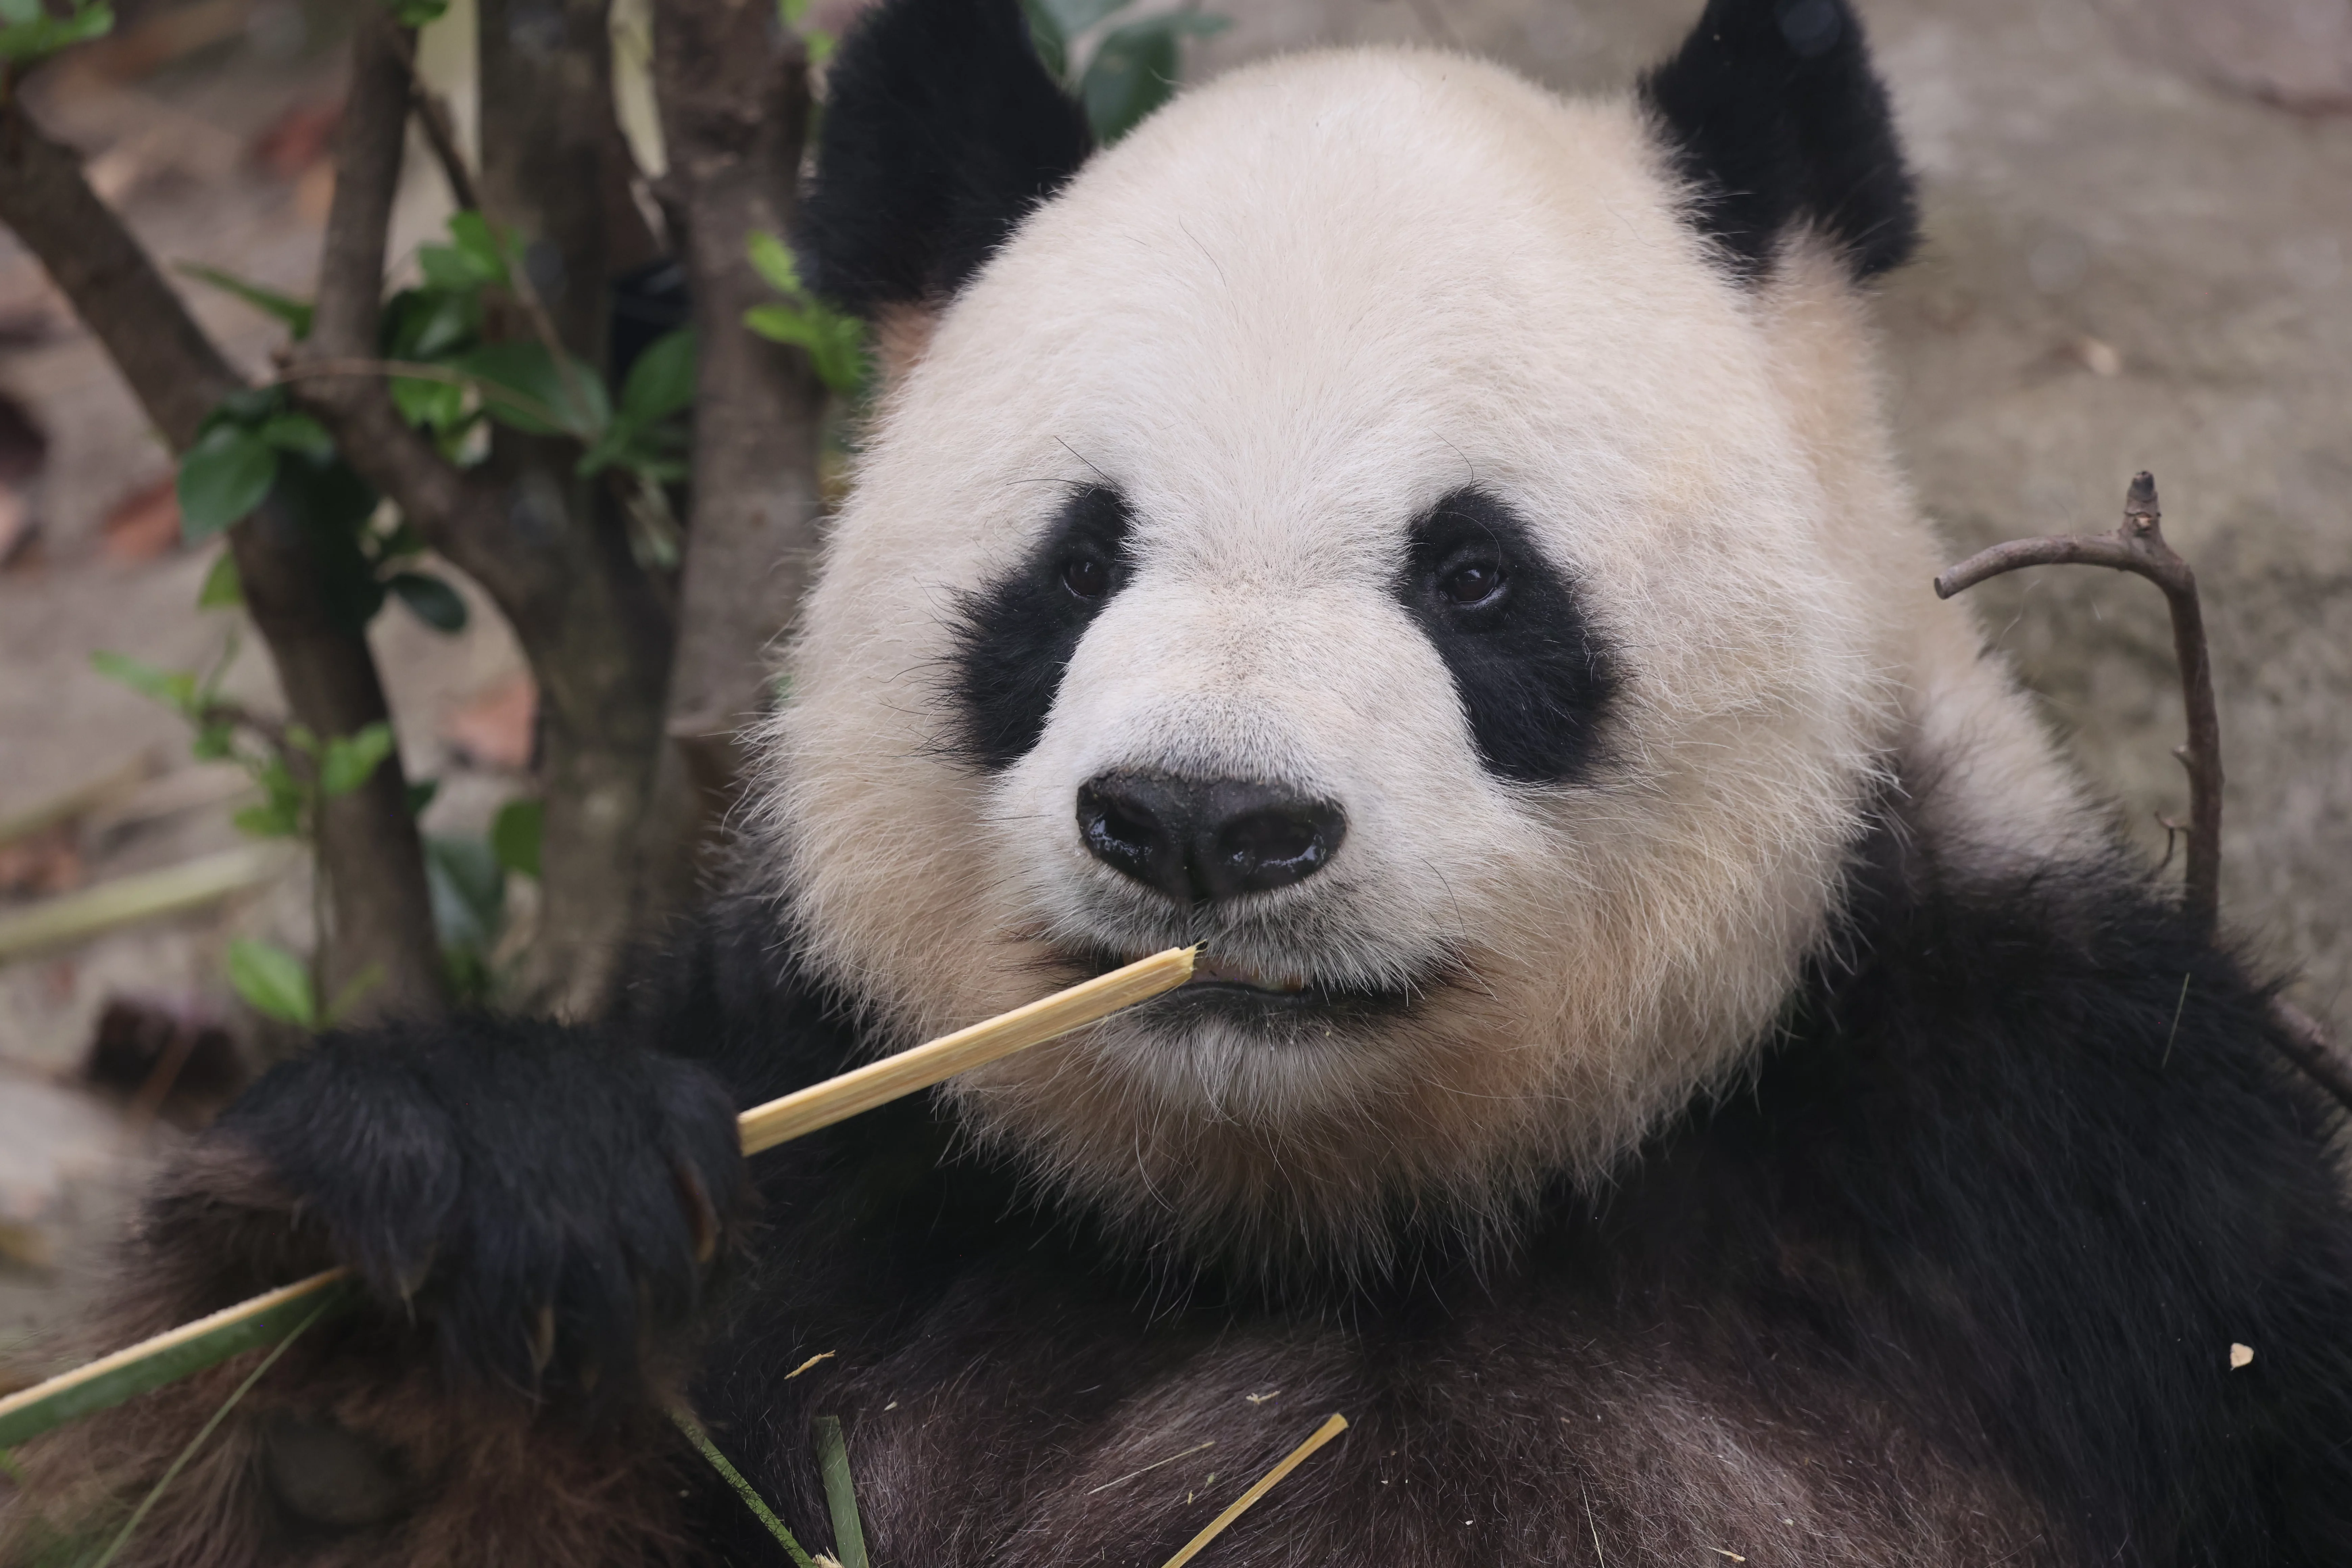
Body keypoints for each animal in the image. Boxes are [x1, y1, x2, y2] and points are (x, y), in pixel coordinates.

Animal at [14, 0, 2352, 1563]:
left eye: (1476, 578)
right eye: (1070, 572)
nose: (1207, 828)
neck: (1349, 1226)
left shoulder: (2074, 1193)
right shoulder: (836, 1200)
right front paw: (434, 1265)